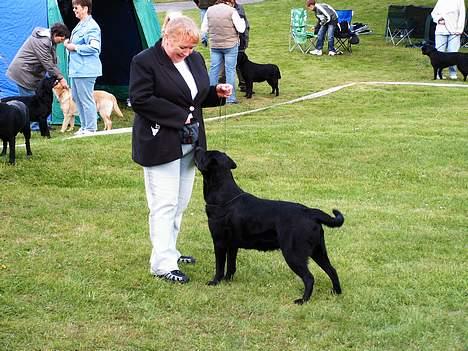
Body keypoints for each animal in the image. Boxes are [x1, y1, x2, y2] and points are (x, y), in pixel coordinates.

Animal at [194, 148, 344, 306]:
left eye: (204, 154)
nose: (197, 148)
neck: (224, 197)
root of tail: (310, 212)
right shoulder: (232, 245)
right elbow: (231, 266)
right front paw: (227, 281)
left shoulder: (219, 242)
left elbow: (220, 266)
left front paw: (215, 282)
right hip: (318, 251)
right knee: (332, 270)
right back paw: (336, 293)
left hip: (293, 253)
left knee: (309, 278)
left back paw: (302, 300)